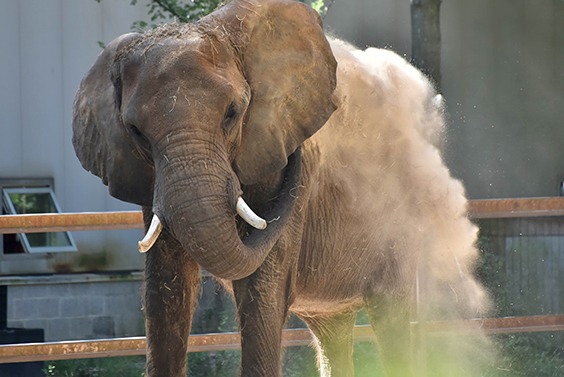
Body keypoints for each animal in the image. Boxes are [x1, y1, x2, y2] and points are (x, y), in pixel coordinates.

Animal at [74, 0, 490, 374]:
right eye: (135, 131)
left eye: (233, 113)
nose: (298, 155)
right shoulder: (152, 181)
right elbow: (164, 289)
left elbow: (260, 290)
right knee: (333, 332)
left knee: (391, 317)